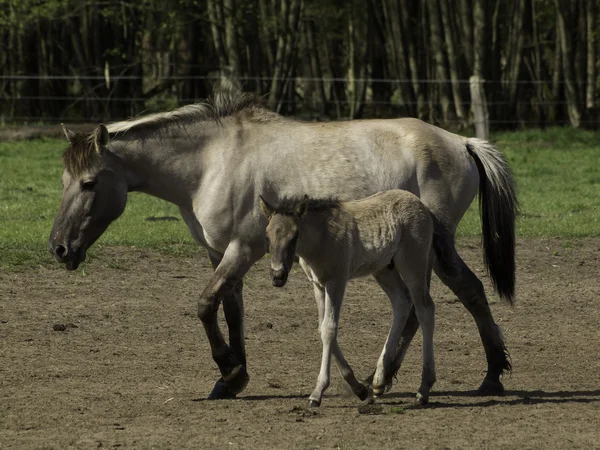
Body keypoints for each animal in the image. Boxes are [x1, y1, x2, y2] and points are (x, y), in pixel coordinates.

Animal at [258, 190, 454, 408]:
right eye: (267, 237)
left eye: (294, 236)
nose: (278, 276)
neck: (322, 238)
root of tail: (422, 205)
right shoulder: (318, 285)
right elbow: (322, 328)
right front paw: (359, 388)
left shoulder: (336, 282)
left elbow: (329, 329)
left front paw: (317, 393)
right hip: (383, 269)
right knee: (401, 302)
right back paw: (378, 382)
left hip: (413, 266)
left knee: (424, 309)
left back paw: (423, 389)